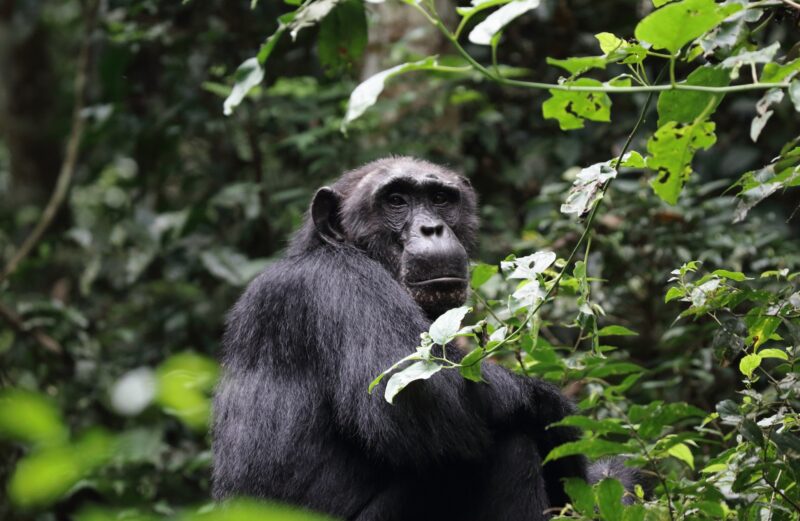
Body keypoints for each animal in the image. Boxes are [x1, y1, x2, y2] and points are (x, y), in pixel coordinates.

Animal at [212, 156, 636, 516]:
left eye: (440, 199)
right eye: (396, 200)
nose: (431, 228)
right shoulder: (344, 286)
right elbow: (417, 398)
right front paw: (557, 415)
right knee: (506, 447)